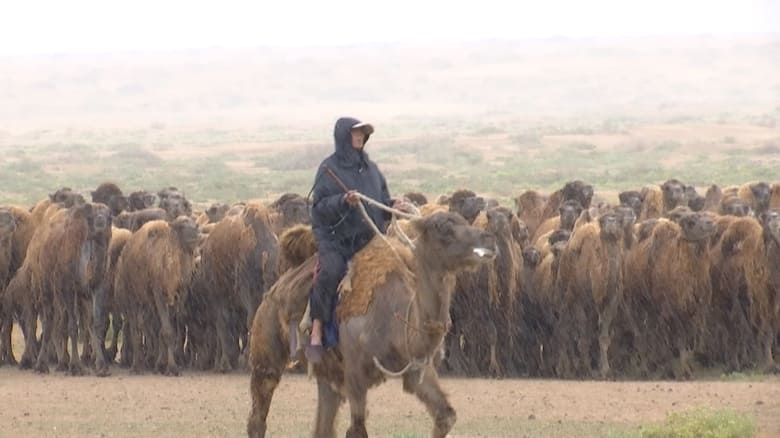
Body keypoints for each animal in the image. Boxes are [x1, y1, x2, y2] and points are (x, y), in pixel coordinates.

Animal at [247, 210, 496, 436]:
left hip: (328, 373)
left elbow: (445, 416)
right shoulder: (355, 374)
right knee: (259, 413)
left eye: (463, 220)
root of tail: (274, 290)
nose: (488, 239)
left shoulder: (417, 370)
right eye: (442, 226)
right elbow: (357, 429)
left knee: (323, 425)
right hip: (266, 353)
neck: (396, 320)